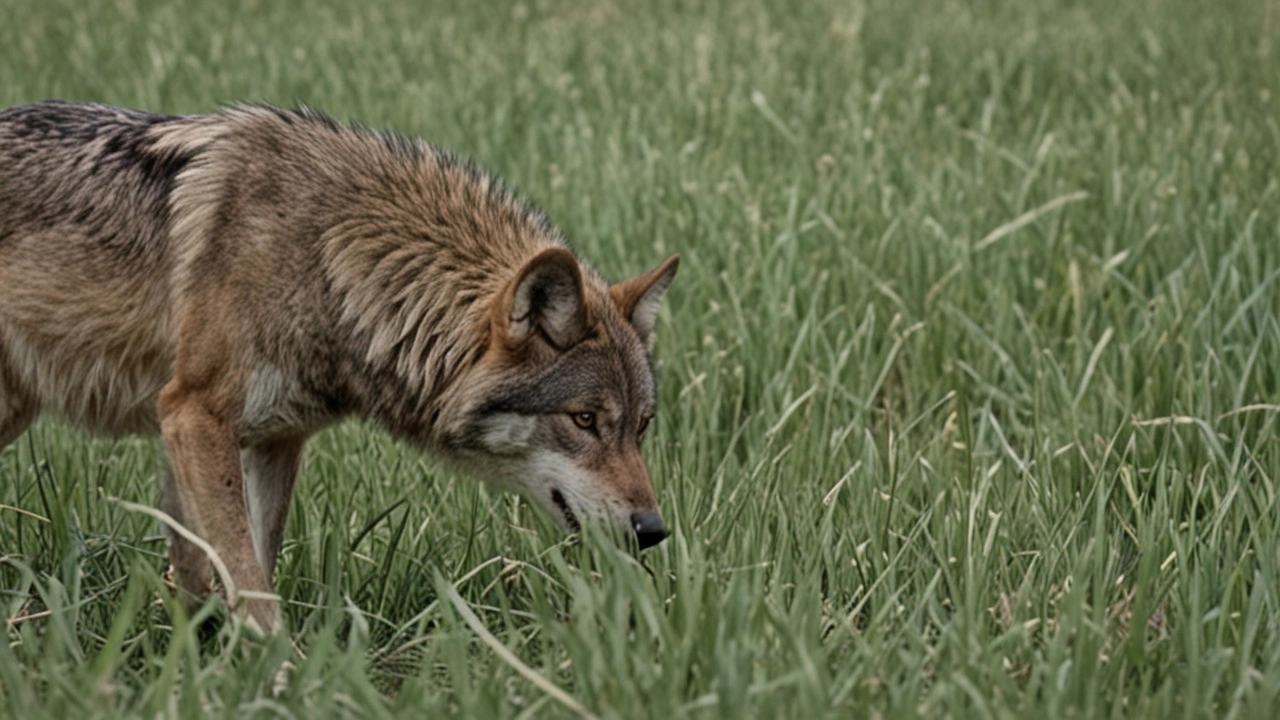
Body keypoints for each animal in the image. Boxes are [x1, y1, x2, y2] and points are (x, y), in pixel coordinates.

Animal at [0, 99, 680, 627]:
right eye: (584, 420)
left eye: (641, 426)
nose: (652, 529)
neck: (326, 257)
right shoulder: (193, 415)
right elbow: (247, 578)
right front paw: (279, 673)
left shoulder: (271, 439)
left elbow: (227, 565)